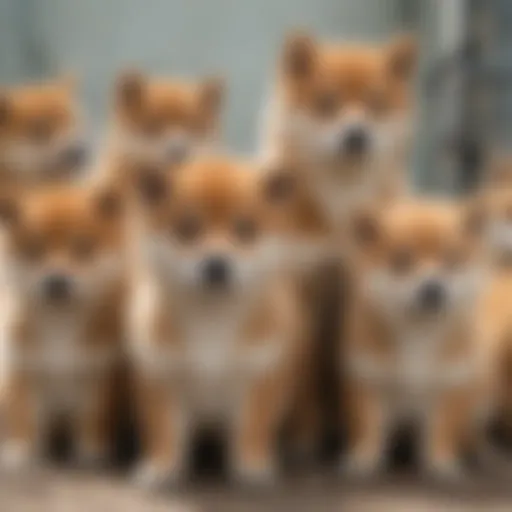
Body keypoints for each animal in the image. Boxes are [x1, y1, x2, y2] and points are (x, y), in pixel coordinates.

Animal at [0, 182, 126, 470]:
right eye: (33, 250)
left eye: (83, 247)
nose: (56, 280)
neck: (60, 324)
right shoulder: (26, 372)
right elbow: (24, 416)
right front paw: (21, 451)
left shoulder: (96, 376)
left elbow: (92, 419)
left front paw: (90, 452)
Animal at [127, 155, 324, 488]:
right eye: (187, 228)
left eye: (245, 229)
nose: (216, 264)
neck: (212, 320)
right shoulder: (161, 377)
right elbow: (164, 430)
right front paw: (162, 466)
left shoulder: (261, 378)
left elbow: (253, 427)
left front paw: (252, 465)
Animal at [344, 201, 488, 480]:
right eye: (401, 262)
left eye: (452, 260)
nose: (433, 288)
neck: (419, 333)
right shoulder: (370, 383)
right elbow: (369, 428)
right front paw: (364, 458)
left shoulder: (449, 387)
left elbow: (442, 430)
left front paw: (441, 462)